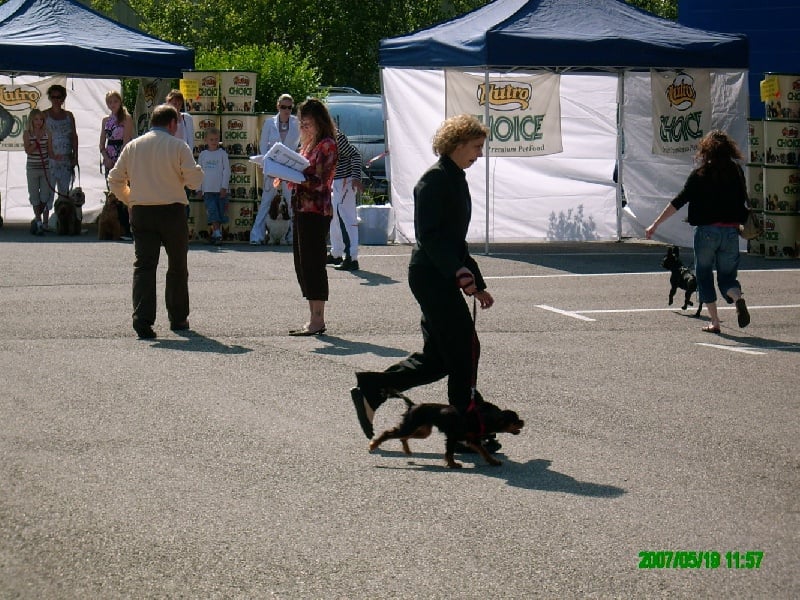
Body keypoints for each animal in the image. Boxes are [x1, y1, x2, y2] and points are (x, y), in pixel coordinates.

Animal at [368, 392, 524, 472]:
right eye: (515, 420)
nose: (523, 422)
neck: (483, 417)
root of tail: (413, 405)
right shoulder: (452, 437)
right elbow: (449, 453)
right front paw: (453, 464)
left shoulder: (472, 439)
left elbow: (484, 451)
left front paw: (493, 461)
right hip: (412, 426)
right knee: (388, 433)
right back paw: (373, 445)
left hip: (423, 430)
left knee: (403, 437)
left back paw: (406, 450)